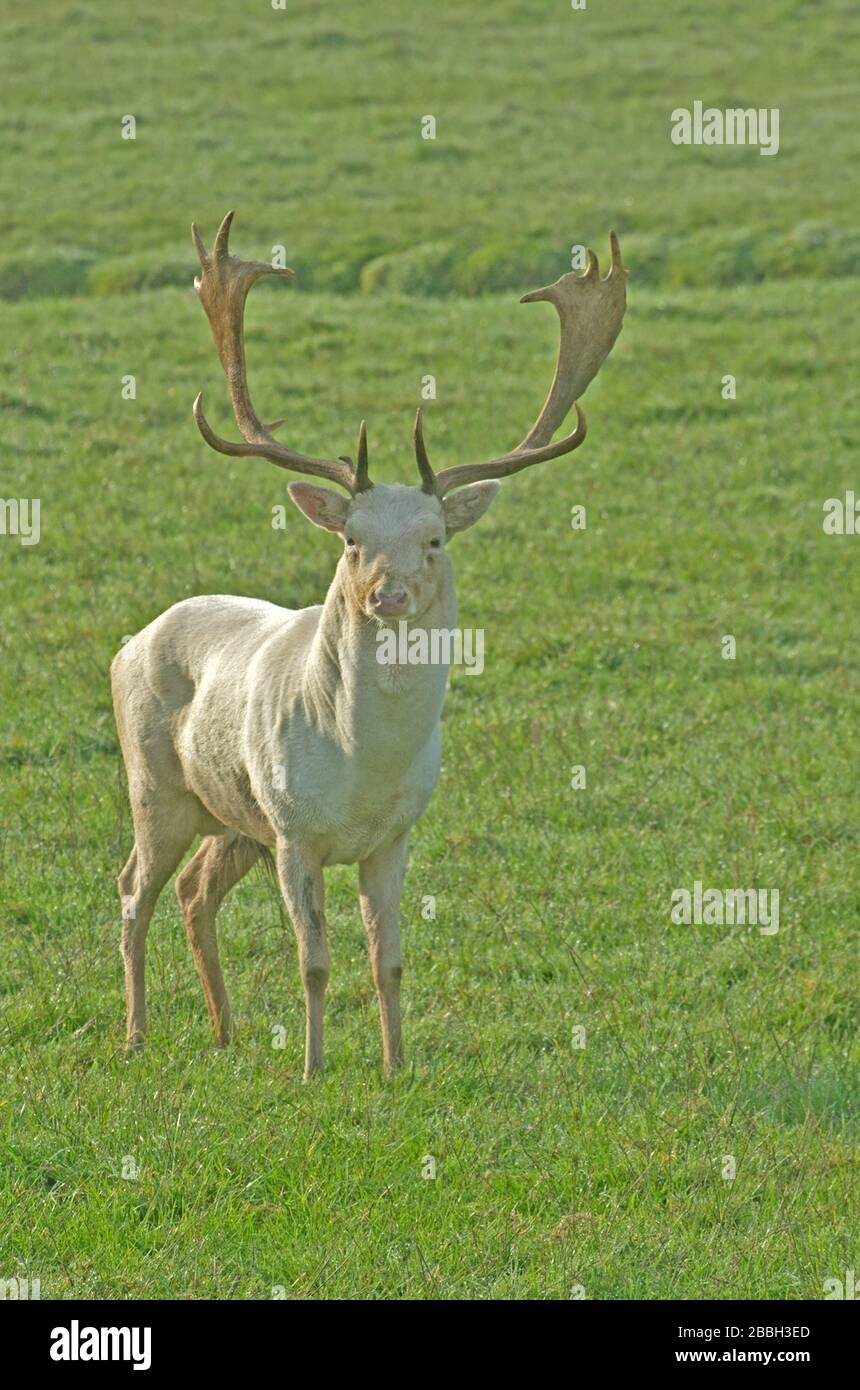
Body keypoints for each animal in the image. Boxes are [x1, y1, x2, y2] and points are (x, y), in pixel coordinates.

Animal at [111, 212, 626, 1079]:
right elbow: (315, 961)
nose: (387, 595)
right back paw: (138, 1034)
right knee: (132, 890)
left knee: (193, 891)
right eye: (351, 539)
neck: (364, 766)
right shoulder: (294, 830)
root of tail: (128, 642)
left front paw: (395, 1066)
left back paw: (224, 1030)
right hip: (158, 787)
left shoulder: (394, 835)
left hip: (231, 817)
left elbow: (389, 960)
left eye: (434, 538)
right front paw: (314, 1069)